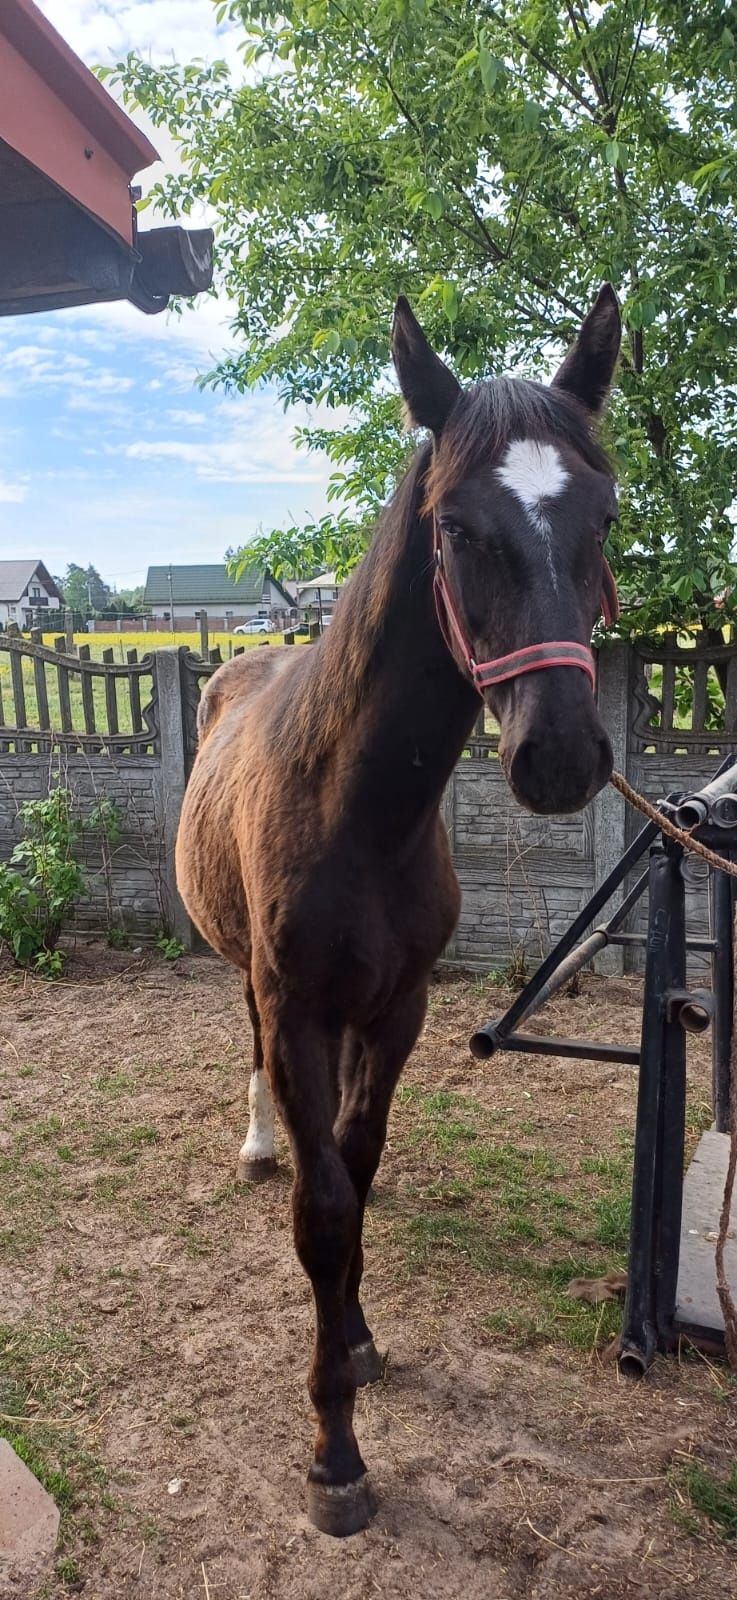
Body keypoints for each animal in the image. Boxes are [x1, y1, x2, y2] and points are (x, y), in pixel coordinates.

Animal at [176, 291, 620, 1536]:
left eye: (602, 514)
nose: (560, 754)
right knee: (249, 1053)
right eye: (456, 527)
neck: (356, 810)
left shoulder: (398, 1010)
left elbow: (359, 1164)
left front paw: (362, 1338)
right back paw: (256, 1142)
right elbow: (323, 1205)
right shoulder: (299, 1011)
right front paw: (335, 1453)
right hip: (249, 980)